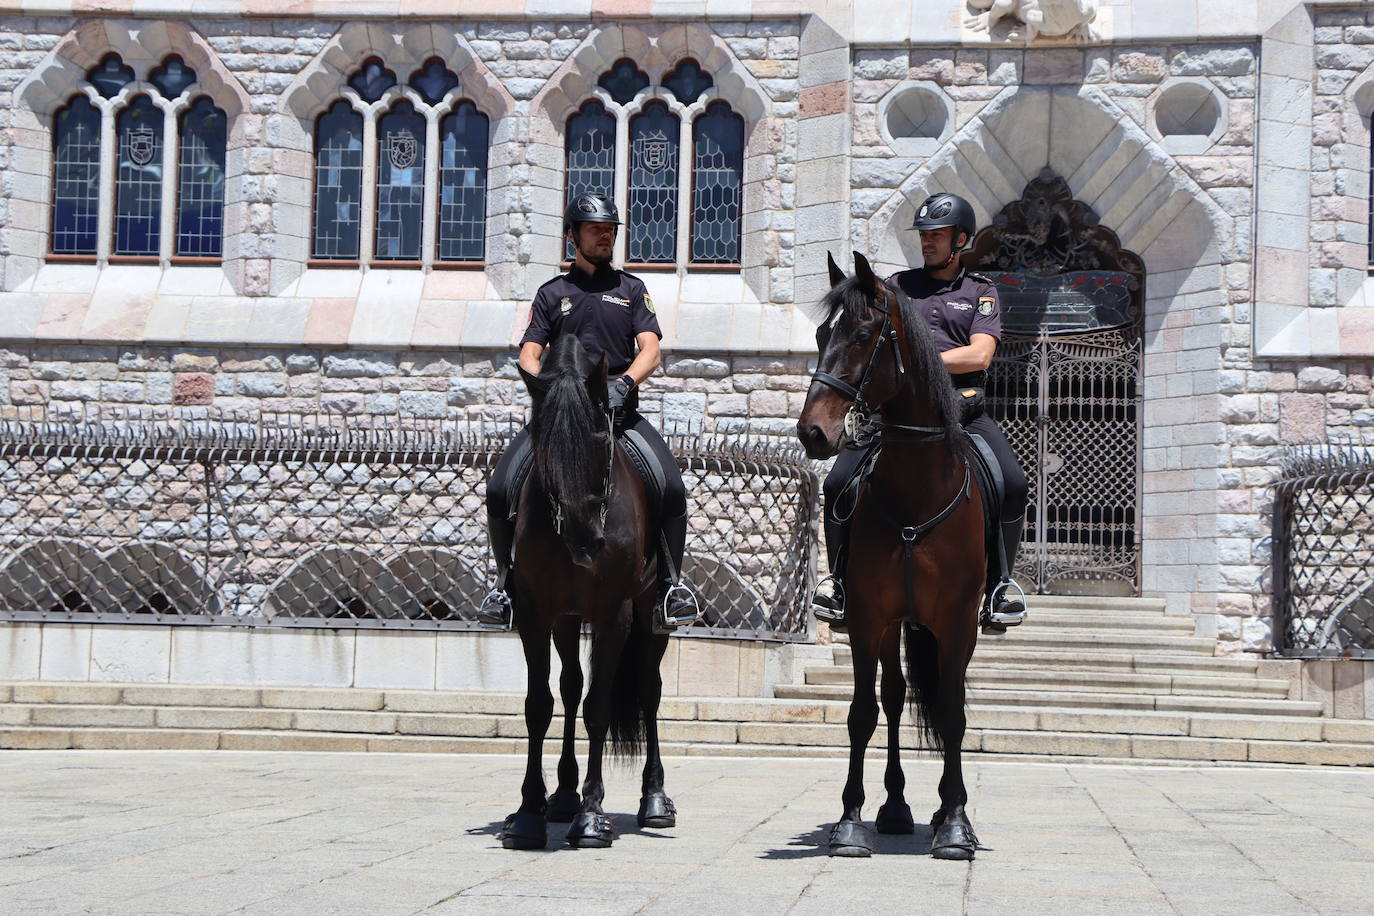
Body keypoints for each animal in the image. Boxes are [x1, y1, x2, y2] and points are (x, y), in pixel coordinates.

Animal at [502, 333, 678, 851]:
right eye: (544, 445)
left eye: (601, 438)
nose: (584, 540)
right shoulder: (536, 614)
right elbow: (539, 705)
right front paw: (528, 813)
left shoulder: (613, 614)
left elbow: (599, 708)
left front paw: (592, 815)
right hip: (566, 618)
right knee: (570, 687)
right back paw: (562, 797)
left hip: (650, 616)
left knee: (648, 691)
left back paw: (653, 800)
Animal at [796, 248, 989, 862]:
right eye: (820, 334)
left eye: (862, 335)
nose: (813, 433)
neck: (916, 489)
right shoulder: (867, 617)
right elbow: (862, 713)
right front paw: (849, 821)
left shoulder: (957, 622)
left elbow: (952, 714)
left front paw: (956, 825)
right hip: (893, 625)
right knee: (895, 697)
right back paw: (897, 806)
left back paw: (945, 811)